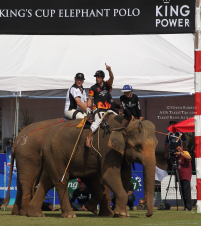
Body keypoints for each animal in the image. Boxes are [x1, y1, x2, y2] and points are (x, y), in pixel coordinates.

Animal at [26, 115, 158, 218]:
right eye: (138, 146)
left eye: (156, 145)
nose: (147, 214)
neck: (125, 124)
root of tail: (46, 140)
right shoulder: (108, 149)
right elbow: (109, 175)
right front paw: (122, 214)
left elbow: (125, 176)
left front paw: (119, 213)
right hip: (55, 154)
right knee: (61, 181)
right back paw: (70, 215)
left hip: (52, 157)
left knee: (46, 181)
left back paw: (36, 214)